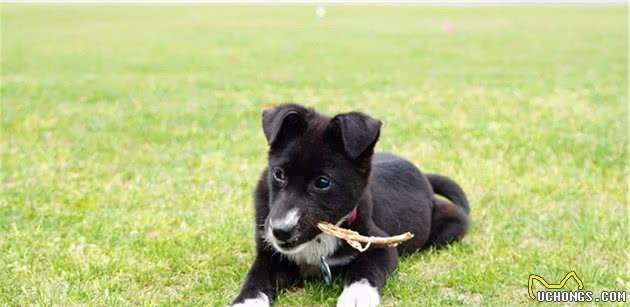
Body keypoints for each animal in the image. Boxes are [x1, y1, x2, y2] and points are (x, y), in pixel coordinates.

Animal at [231, 104, 470, 306]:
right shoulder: (269, 256)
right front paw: (246, 302)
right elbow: (256, 278)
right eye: (279, 174)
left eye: (323, 182)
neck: (317, 241)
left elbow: (364, 271)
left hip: (452, 222)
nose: (279, 231)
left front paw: (356, 296)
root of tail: (424, 176)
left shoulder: (381, 246)